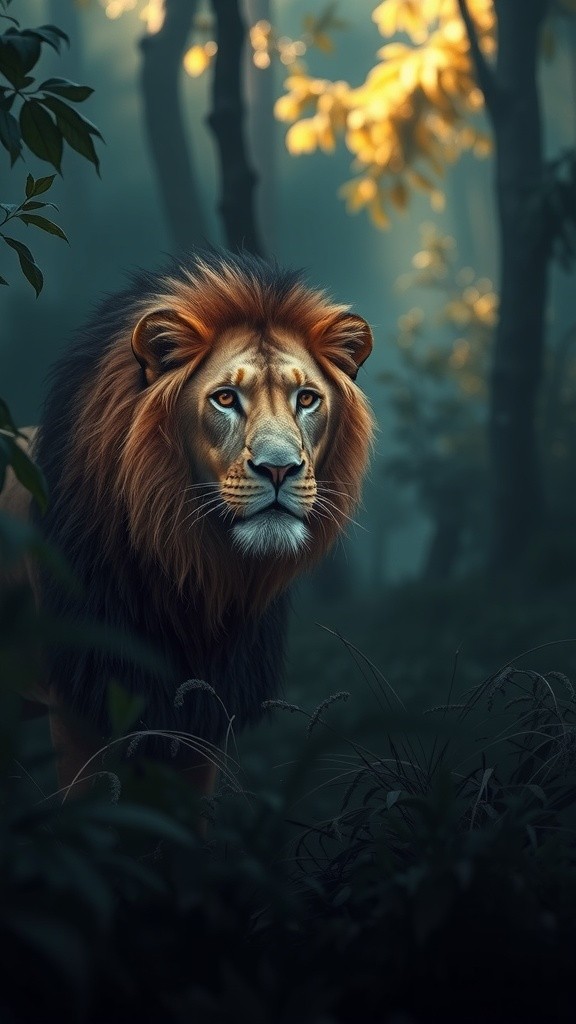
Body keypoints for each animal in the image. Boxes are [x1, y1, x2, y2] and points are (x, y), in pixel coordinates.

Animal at [1, 250, 374, 797]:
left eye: (307, 398)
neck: (192, 573)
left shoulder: (201, 712)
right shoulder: (81, 705)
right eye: (225, 398)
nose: (279, 468)